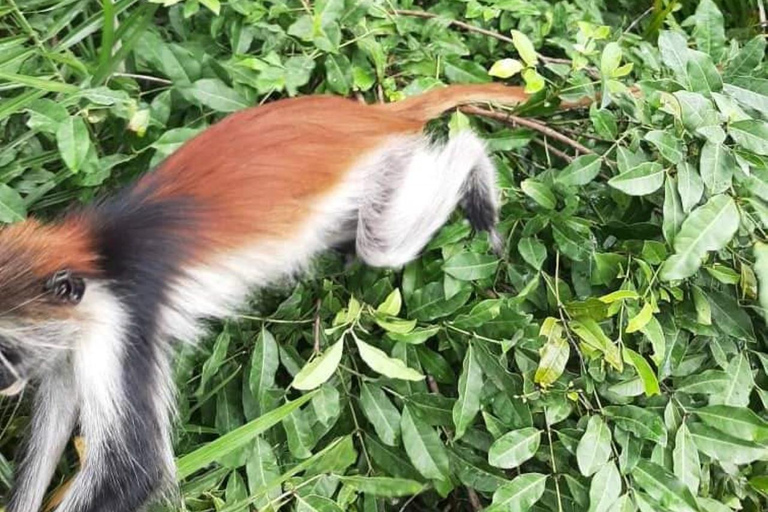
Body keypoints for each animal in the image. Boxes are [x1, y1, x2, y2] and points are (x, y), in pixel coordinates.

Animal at [0, 84, 528, 512]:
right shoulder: (74, 337)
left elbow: (134, 472)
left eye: (3, 350)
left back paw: (472, 163)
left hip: (381, 165)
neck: (98, 258)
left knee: (382, 243)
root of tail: (368, 118)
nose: (0, 382)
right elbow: (57, 417)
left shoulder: (121, 318)